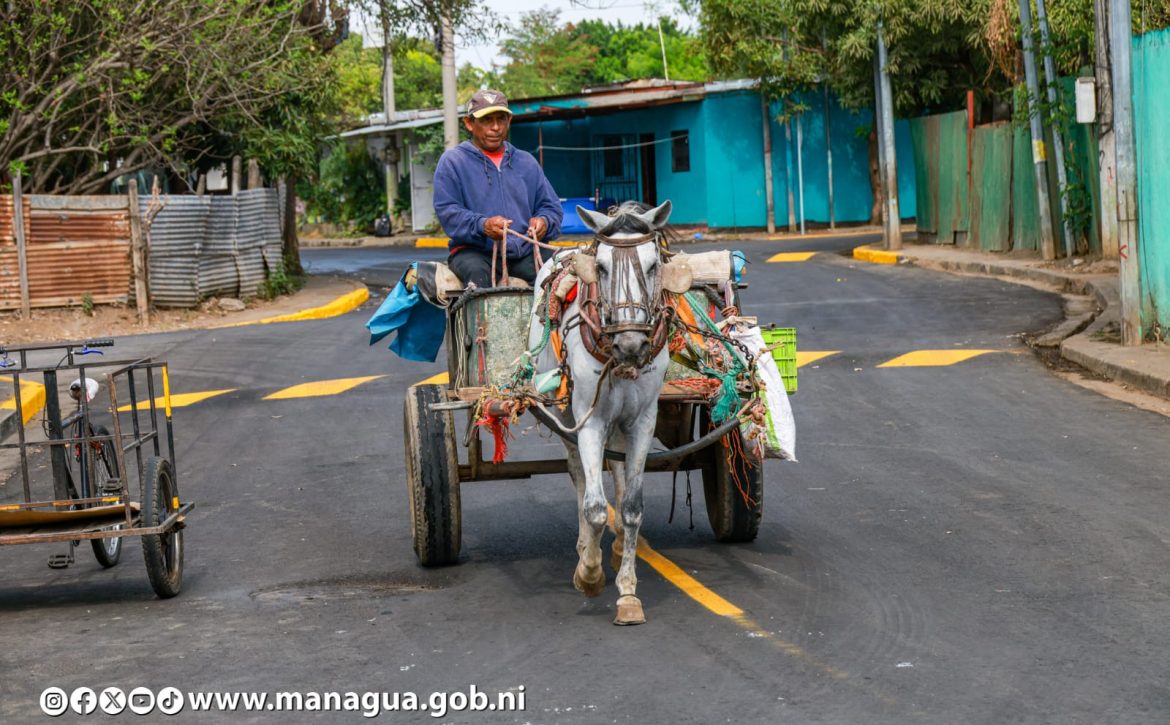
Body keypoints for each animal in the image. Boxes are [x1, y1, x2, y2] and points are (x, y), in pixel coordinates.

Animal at [528, 200, 693, 625]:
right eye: (601, 267)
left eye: (653, 265)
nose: (631, 344)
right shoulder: (591, 421)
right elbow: (596, 507)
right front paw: (589, 574)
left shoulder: (642, 421)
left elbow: (631, 507)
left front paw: (628, 594)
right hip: (566, 414)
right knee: (580, 477)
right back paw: (586, 548)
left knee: (616, 472)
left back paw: (616, 549)